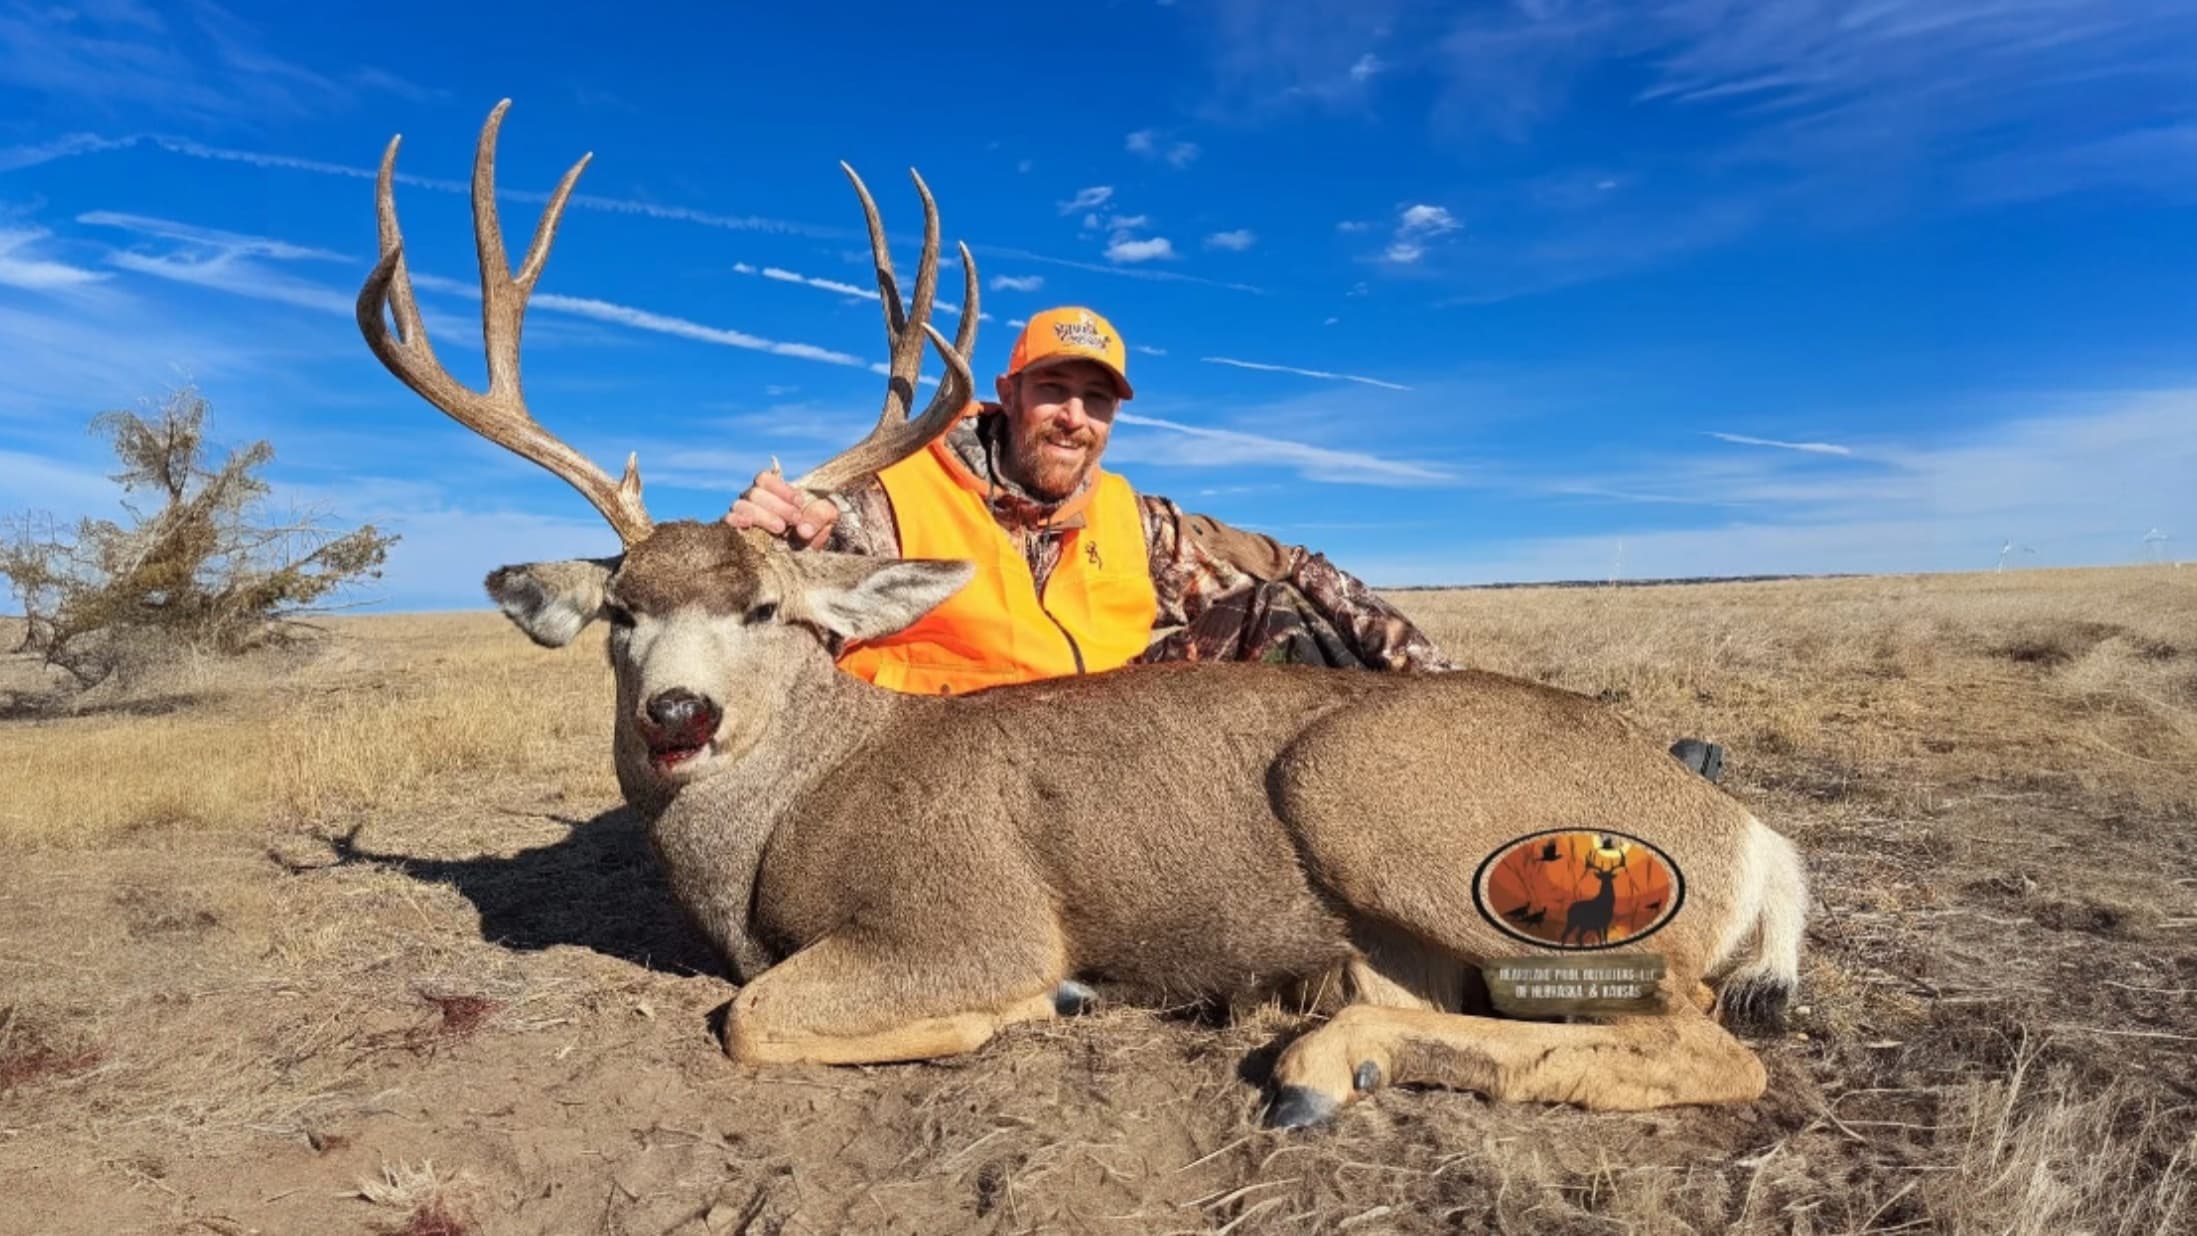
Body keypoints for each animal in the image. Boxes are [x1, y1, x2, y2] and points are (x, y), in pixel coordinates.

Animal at [354, 101, 1810, 1129]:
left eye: (767, 607)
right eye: (618, 611)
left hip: (1395, 804)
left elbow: (754, 1018)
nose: (676, 711)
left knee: (1704, 1045)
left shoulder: (969, 915)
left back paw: (1319, 1062)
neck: (793, 807)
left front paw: (1032, 1008)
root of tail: (1744, 833)